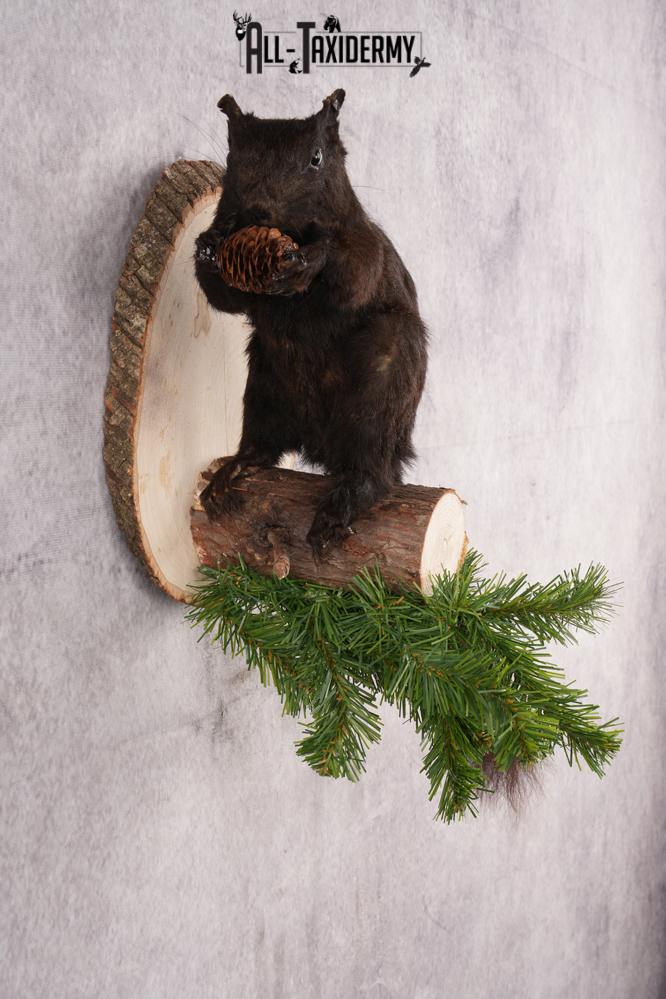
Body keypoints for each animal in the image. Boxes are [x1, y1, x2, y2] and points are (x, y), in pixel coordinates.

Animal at [193, 88, 428, 559]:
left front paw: (308, 261)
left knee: (373, 472)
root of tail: (322, 449)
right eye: (231, 155)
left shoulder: (367, 246)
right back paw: (235, 470)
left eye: (316, 158)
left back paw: (341, 507)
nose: (258, 210)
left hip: (383, 389)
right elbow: (222, 297)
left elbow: (355, 271)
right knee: (264, 444)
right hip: (265, 385)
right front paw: (209, 247)